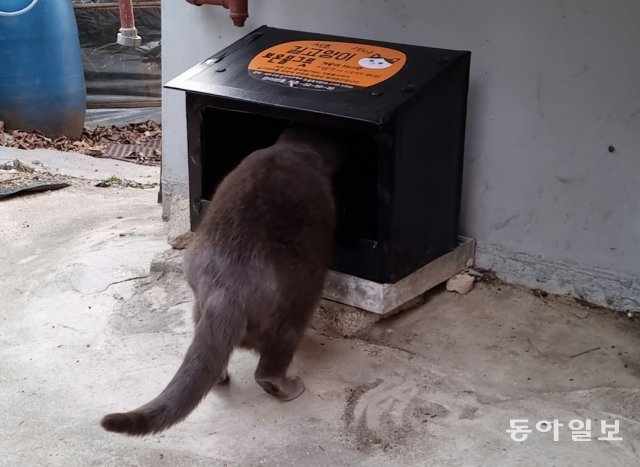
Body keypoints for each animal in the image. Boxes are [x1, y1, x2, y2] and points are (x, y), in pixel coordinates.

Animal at [101, 123, 344, 436]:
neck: (295, 149)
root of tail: (227, 290)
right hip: (296, 305)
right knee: (271, 365)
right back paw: (288, 387)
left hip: (199, 300)